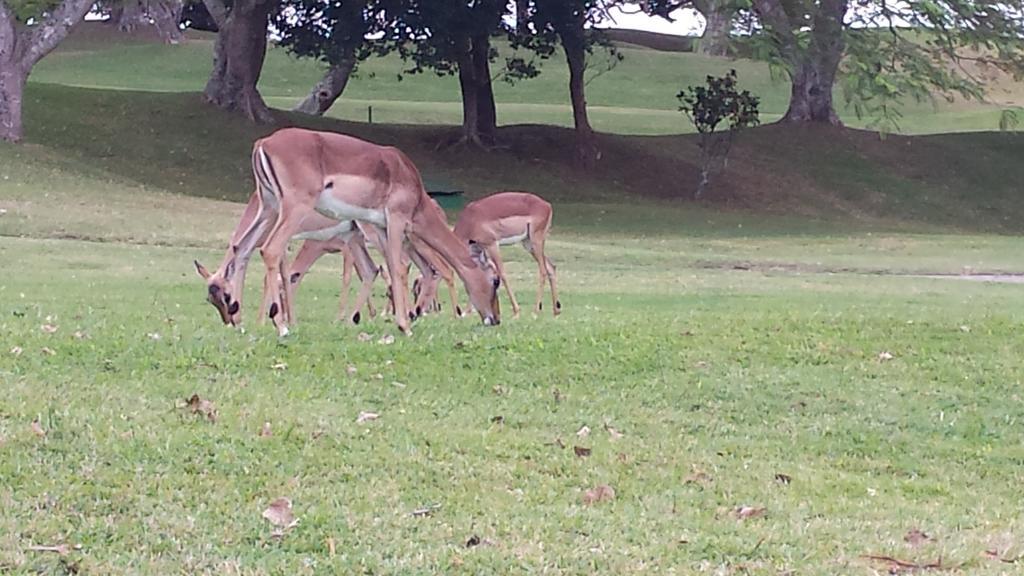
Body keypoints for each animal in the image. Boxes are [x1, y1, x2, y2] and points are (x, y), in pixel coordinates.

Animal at [249, 125, 501, 332]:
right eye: (495, 281)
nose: (496, 319)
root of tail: (263, 143)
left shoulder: (381, 228)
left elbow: (388, 267)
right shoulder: (396, 220)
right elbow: (397, 269)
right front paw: (404, 326)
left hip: (268, 208)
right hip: (293, 209)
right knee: (270, 250)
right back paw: (281, 326)